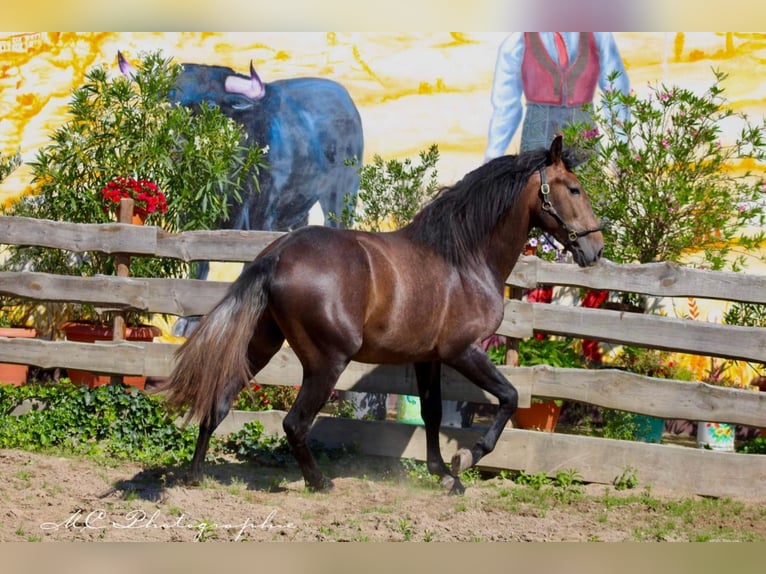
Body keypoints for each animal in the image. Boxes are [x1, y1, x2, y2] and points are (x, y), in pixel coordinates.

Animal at [160, 135, 608, 496]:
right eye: (574, 188)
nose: (595, 249)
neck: (464, 259)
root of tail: (277, 255)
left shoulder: (428, 358)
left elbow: (431, 413)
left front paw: (442, 473)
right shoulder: (462, 351)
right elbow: (510, 397)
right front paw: (465, 461)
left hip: (261, 346)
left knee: (217, 402)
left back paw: (194, 476)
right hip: (327, 362)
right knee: (294, 423)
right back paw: (319, 482)